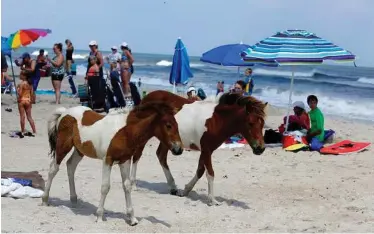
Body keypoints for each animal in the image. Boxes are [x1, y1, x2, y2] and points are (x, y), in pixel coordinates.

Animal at [42, 101, 183, 226]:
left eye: (177, 125)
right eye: (168, 125)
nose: (179, 149)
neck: (126, 131)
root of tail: (64, 112)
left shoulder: (125, 161)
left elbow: (127, 186)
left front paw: (132, 219)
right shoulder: (107, 160)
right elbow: (105, 187)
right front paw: (99, 217)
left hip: (79, 150)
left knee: (71, 166)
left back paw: (74, 200)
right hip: (63, 146)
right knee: (53, 168)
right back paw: (45, 200)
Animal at [130, 90, 268, 206]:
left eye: (262, 123)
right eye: (250, 123)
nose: (260, 148)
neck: (216, 120)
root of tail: (145, 99)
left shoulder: (206, 150)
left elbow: (200, 171)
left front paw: (185, 191)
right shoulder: (206, 150)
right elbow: (210, 173)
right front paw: (212, 200)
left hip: (167, 141)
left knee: (161, 156)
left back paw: (173, 187)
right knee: (137, 156)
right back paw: (133, 185)